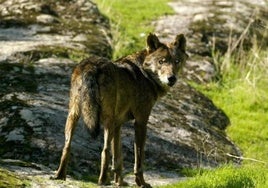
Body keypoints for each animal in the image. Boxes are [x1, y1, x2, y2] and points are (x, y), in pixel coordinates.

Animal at [53, 33, 187, 187]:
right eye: (161, 61)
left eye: (176, 61)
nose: (172, 78)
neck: (145, 73)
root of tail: (91, 65)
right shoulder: (141, 122)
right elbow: (138, 159)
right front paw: (141, 182)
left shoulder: (118, 125)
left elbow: (118, 159)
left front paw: (120, 182)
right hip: (107, 120)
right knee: (104, 150)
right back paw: (102, 180)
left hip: (73, 115)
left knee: (67, 146)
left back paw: (60, 176)